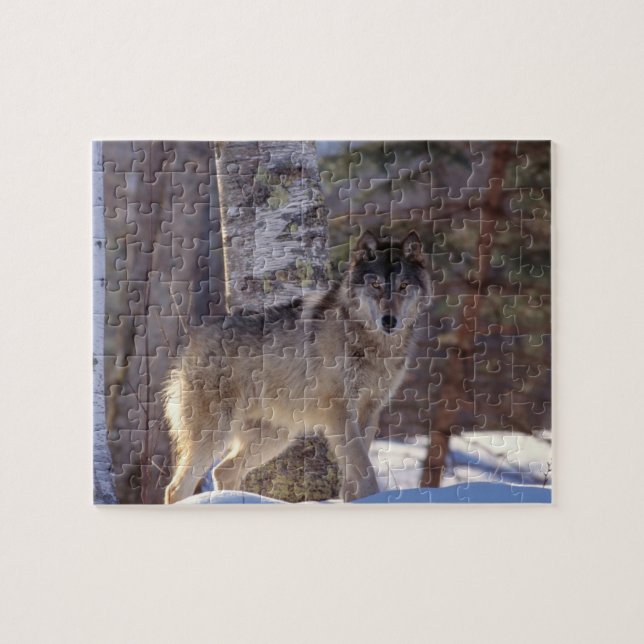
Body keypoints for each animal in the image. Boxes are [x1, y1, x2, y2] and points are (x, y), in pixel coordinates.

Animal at [163, 230, 430, 503]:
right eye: (375, 285)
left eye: (403, 286)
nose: (389, 321)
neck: (373, 345)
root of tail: (194, 338)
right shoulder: (338, 411)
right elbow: (363, 467)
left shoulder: (370, 410)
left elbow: (355, 470)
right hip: (216, 433)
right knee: (175, 488)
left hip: (276, 437)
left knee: (223, 471)